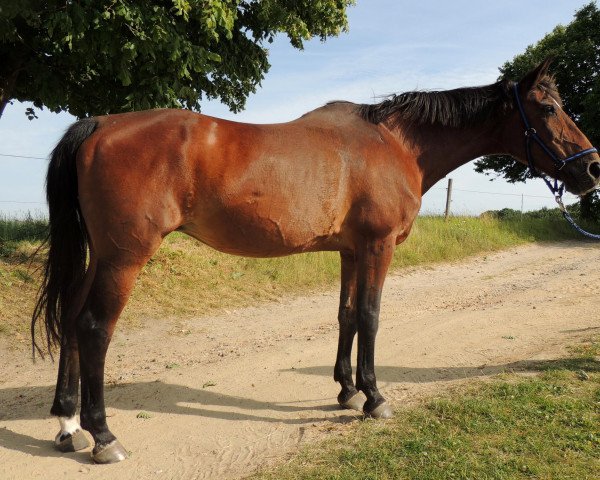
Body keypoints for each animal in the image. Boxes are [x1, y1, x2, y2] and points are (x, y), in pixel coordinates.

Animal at [31, 58, 596, 464]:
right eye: (547, 108)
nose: (591, 168)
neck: (395, 144)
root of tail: (99, 125)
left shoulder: (350, 250)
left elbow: (346, 315)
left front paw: (346, 389)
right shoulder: (378, 246)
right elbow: (370, 316)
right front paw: (374, 397)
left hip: (102, 254)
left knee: (71, 316)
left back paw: (68, 425)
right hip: (125, 257)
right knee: (93, 326)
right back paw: (103, 436)